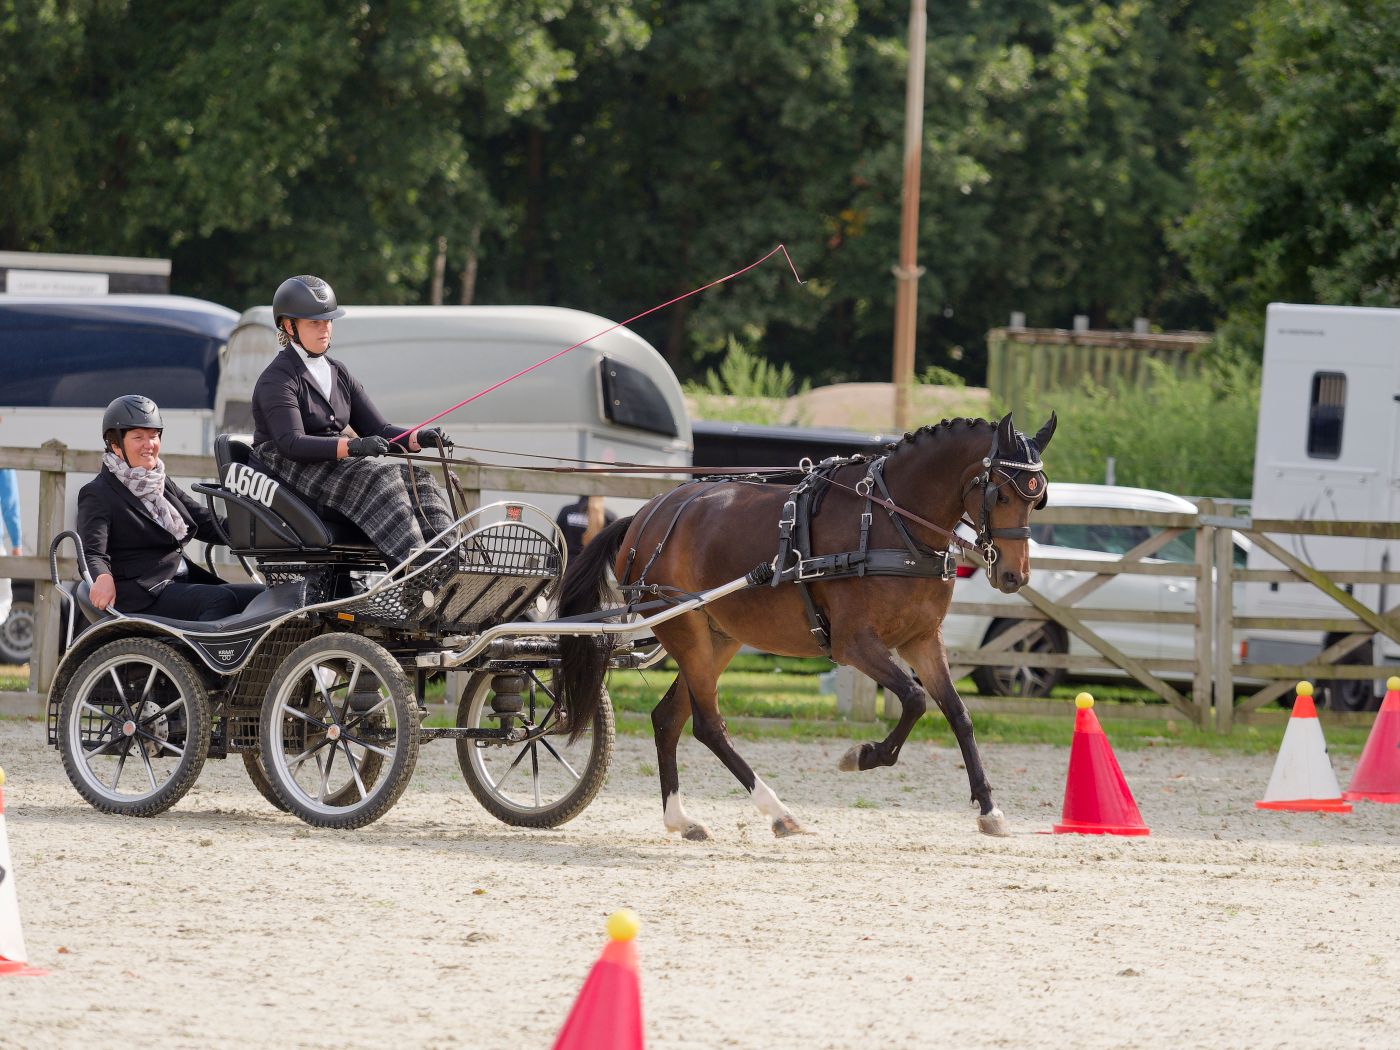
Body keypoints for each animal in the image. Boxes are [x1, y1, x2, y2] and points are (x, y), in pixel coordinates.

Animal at [557, 411, 1056, 840]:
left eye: (1038, 498)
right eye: (1000, 494)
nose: (1014, 576)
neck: (890, 522)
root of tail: (645, 516)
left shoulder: (922, 640)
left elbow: (958, 713)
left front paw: (989, 809)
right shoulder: (855, 645)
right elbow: (915, 701)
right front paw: (864, 755)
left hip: (719, 638)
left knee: (668, 719)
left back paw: (682, 819)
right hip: (687, 632)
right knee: (708, 725)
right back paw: (778, 812)